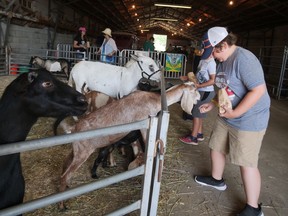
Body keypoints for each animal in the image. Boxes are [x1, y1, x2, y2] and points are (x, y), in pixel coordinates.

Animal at [57, 81, 199, 209]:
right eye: (195, 89)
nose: (198, 99)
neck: (154, 99)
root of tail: (74, 128)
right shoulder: (145, 123)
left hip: (76, 150)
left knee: (65, 164)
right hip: (83, 152)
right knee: (65, 175)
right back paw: (62, 205)